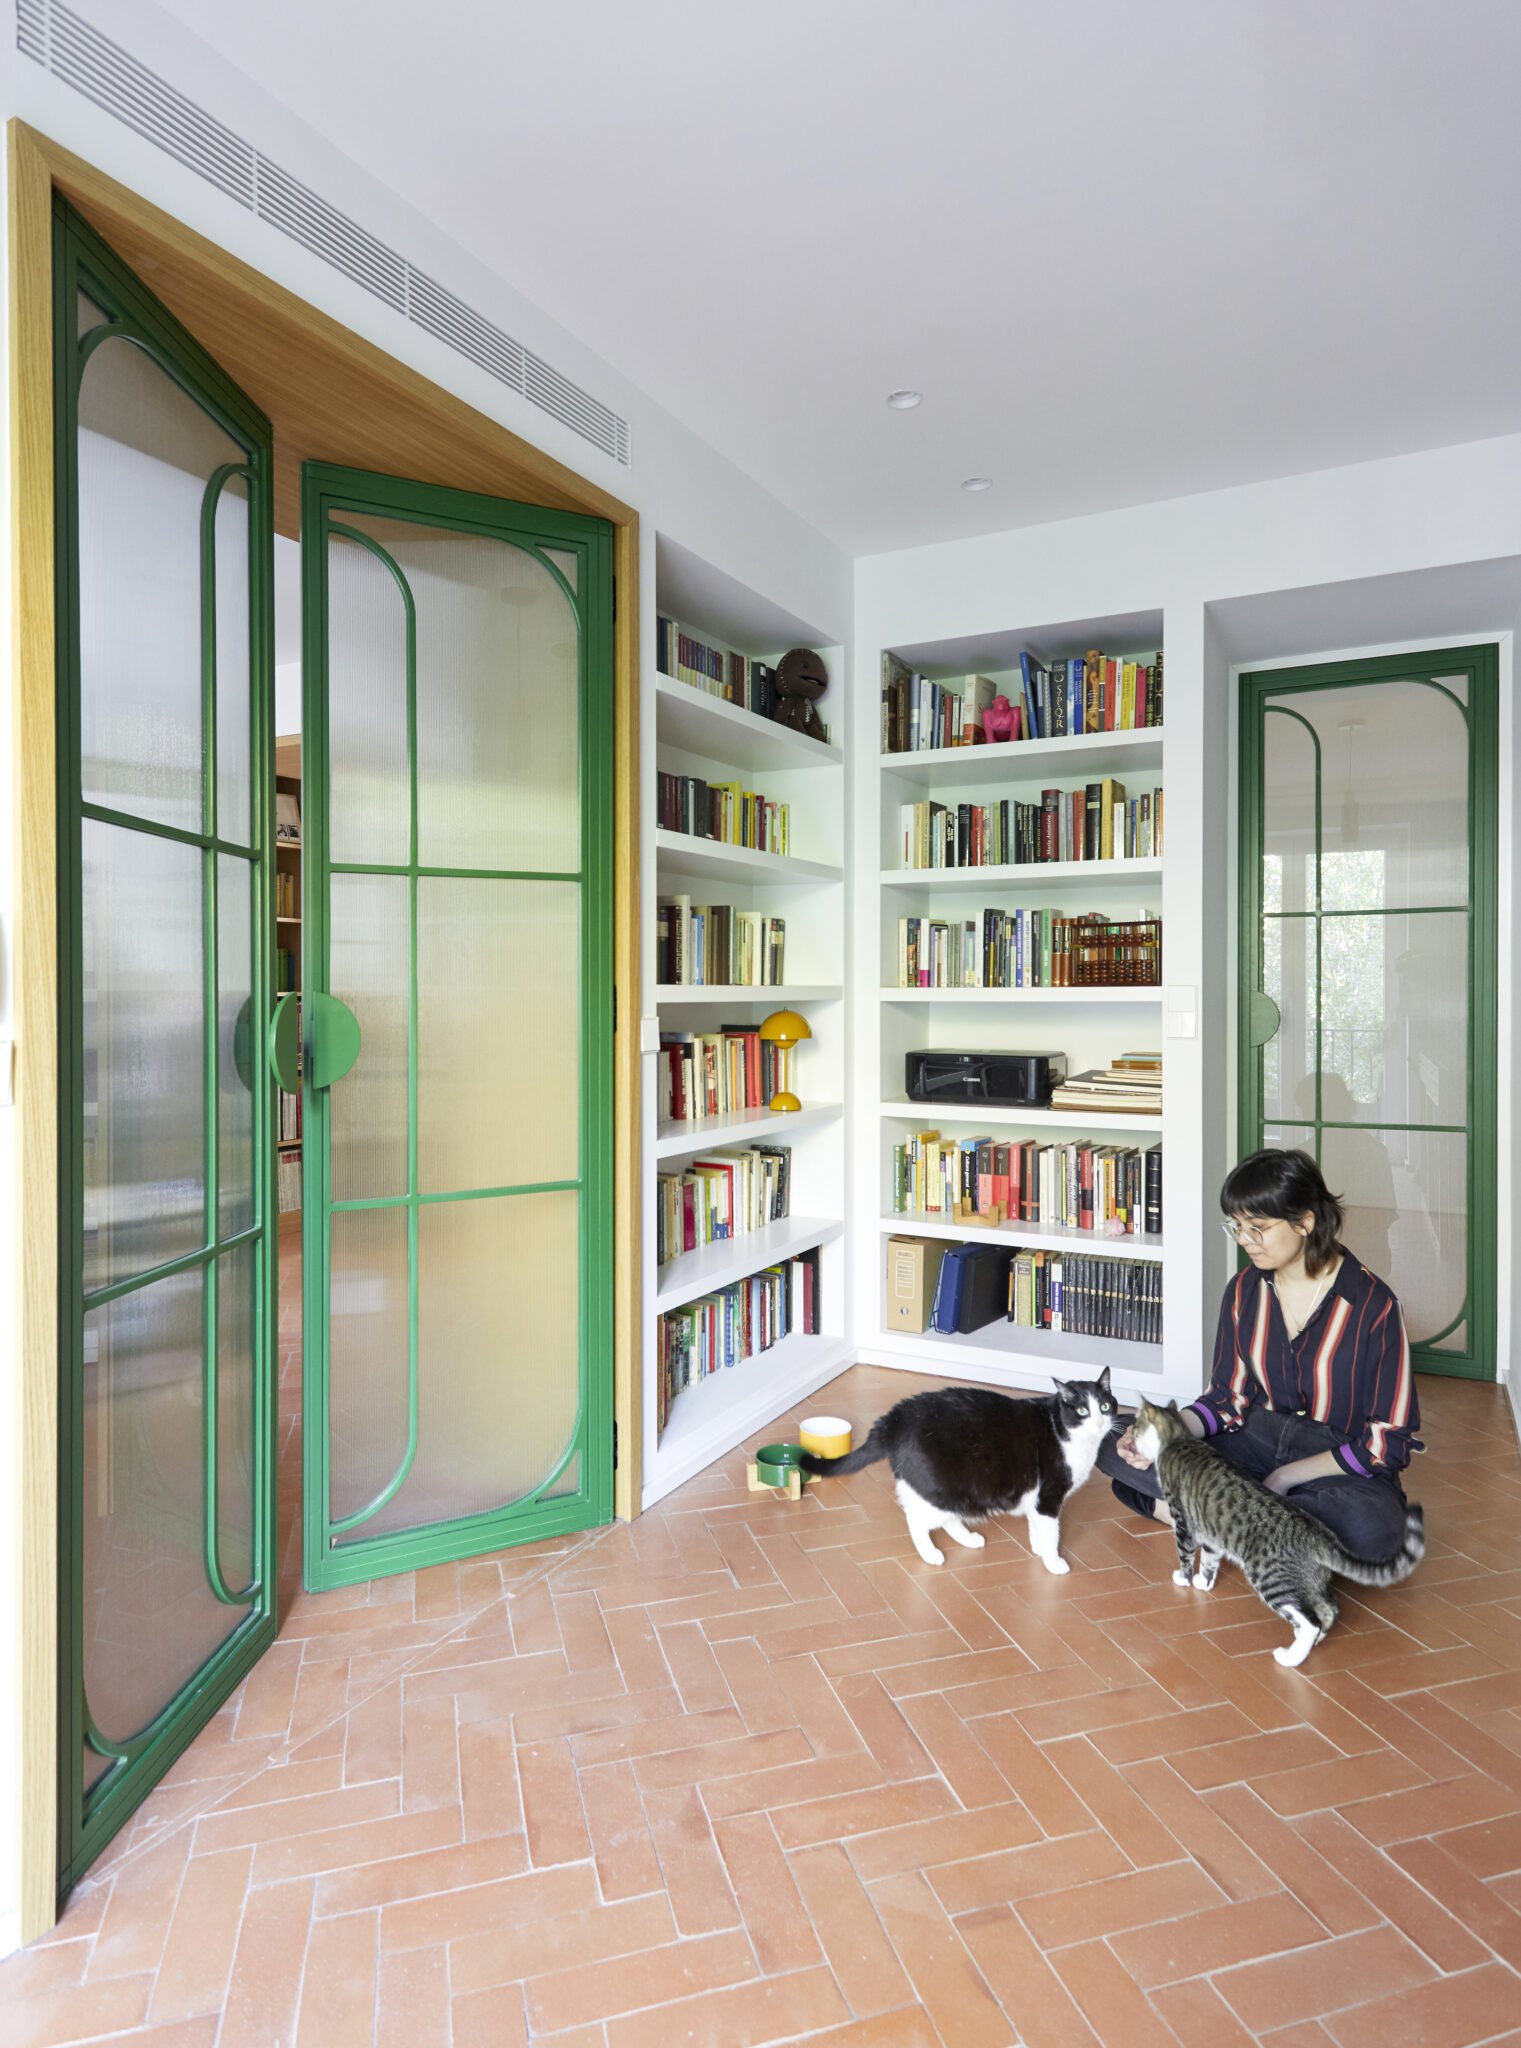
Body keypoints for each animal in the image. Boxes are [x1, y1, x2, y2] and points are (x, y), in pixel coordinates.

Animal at [797, 1371, 1119, 1573]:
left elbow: (1035, 1526)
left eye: (1105, 1406)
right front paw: (1053, 1562)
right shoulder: (1049, 1496)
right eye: (1082, 1411)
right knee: (915, 1519)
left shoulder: (1037, 1498)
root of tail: (895, 1418)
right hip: (940, 1486)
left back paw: (969, 1539)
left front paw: (1038, 1548)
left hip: (955, 1489)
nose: (1100, 1423)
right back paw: (931, 1554)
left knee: (946, 1517)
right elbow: (1052, 1532)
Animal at [1129, 1396, 1426, 1667]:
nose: (1129, 1432)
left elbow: (1186, 1554)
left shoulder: (1182, 1520)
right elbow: (1210, 1560)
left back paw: (1291, 1657)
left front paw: (1184, 1579)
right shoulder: (1211, 1533)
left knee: (1309, 1622)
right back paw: (1313, 1642)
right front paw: (1204, 1582)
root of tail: (1317, 1536)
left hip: (1270, 1579)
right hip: (1309, 1581)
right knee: (1329, 1608)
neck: (1178, 1438)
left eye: (1135, 1427)